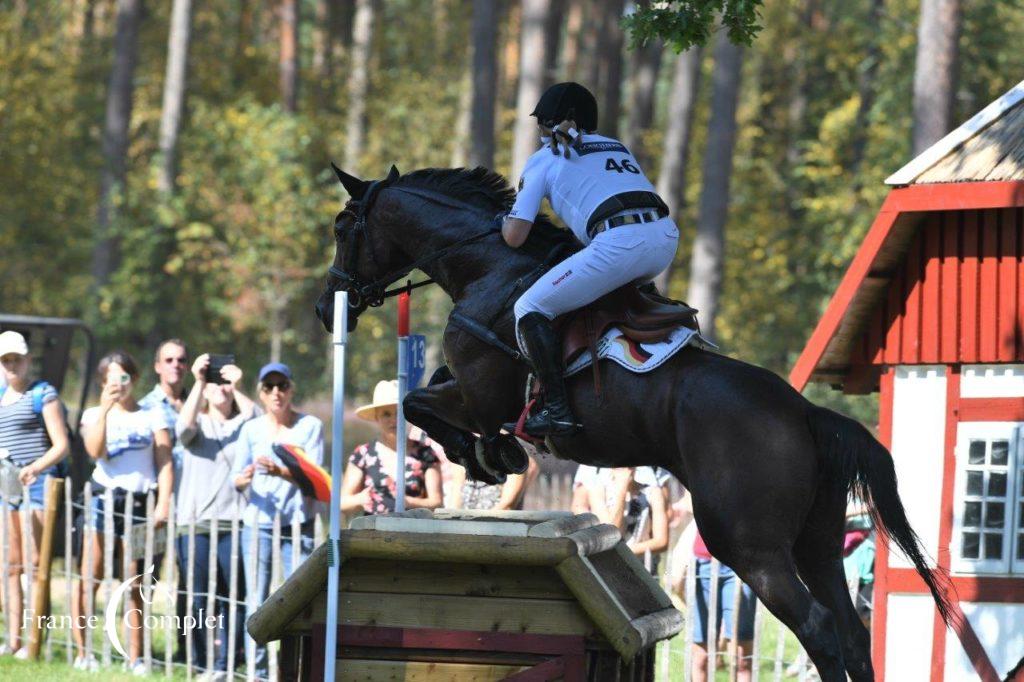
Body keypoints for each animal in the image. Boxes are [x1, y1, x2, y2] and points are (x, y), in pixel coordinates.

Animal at [313, 163, 950, 675]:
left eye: (344, 229)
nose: (326, 307)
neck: (488, 267)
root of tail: (806, 413)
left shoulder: (479, 397)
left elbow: (417, 404)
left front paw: (489, 456)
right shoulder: (470, 392)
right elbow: (423, 396)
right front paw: (490, 452)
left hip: (748, 545)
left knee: (817, 628)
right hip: (817, 541)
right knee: (851, 631)